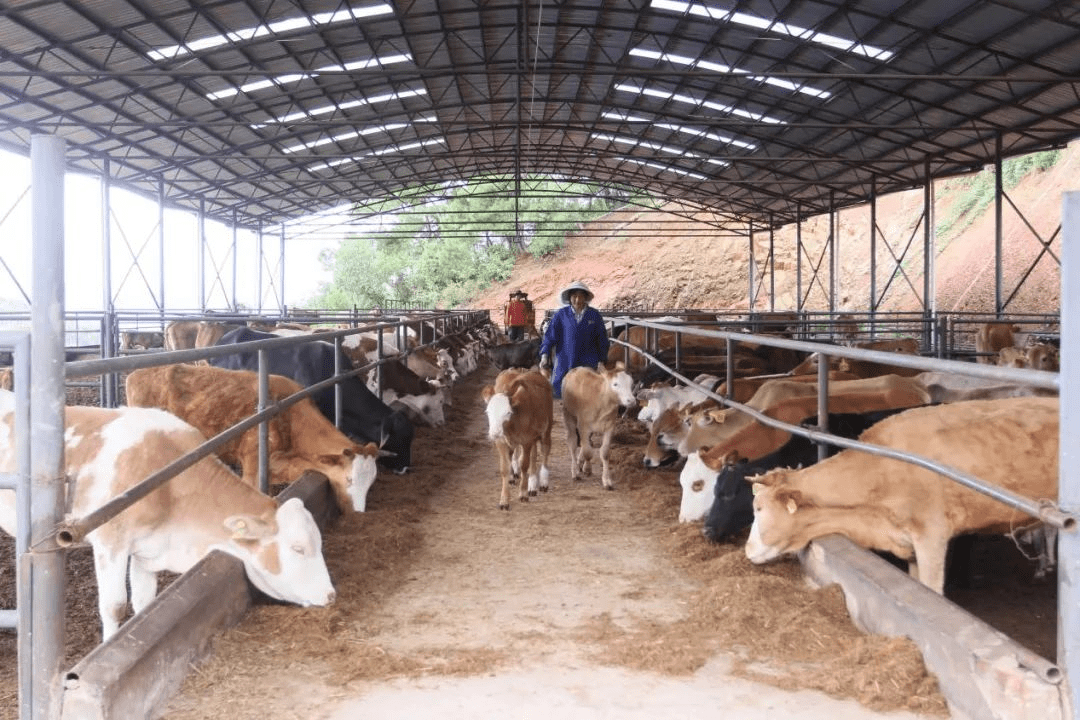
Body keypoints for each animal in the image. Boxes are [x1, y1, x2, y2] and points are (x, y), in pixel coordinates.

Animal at [0, 395, 334, 643]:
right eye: (298, 548)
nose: (331, 596)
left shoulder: (147, 550)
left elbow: (143, 602)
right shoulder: (110, 541)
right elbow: (115, 606)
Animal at [481, 369, 552, 509]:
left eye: (508, 412)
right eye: (488, 412)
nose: (494, 433)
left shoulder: (526, 440)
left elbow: (524, 465)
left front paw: (523, 493)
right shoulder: (502, 442)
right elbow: (504, 468)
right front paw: (504, 500)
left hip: (547, 428)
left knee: (545, 451)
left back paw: (543, 482)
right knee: (533, 455)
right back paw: (531, 483)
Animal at [561, 362, 635, 492]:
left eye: (631, 383)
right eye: (615, 384)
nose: (631, 400)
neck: (601, 402)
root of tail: (578, 368)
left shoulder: (610, 426)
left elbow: (604, 453)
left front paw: (607, 481)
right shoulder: (583, 425)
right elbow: (588, 452)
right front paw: (586, 469)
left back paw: (581, 463)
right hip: (569, 415)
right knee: (573, 442)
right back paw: (575, 471)